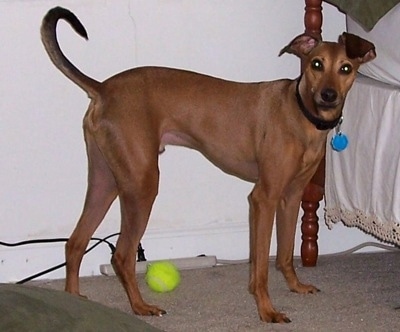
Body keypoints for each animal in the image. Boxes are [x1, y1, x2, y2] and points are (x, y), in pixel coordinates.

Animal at [40, 6, 376, 322]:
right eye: (316, 64)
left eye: (346, 68)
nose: (328, 96)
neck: (300, 112)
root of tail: (103, 89)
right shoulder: (264, 198)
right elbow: (262, 267)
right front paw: (267, 311)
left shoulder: (291, 197)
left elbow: (283, 254)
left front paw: (295, 286)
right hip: (141, 184)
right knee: (121, 255)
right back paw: (141, 307)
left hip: (105, 181)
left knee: (75, 242)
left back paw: (74, 302)